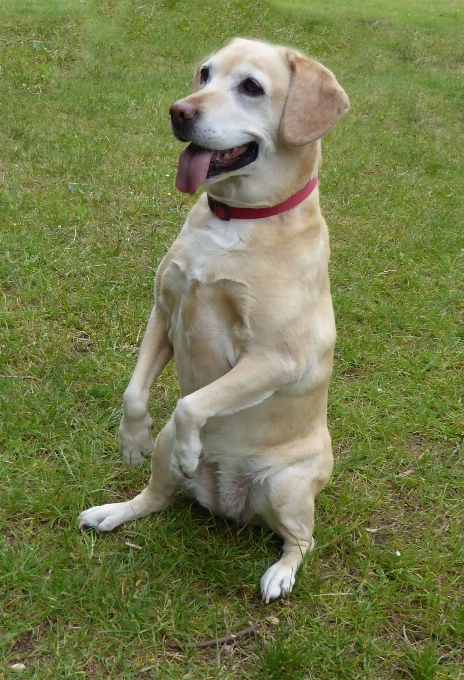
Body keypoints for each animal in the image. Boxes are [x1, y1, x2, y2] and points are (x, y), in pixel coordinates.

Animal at [79, 38, 348, 600]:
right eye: (204, 73)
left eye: (251, 87)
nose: (179, 112)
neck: (235, 221)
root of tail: (229, 504)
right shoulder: (164, 311)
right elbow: (134, 394)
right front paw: (130, 439)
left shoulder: (273, 359)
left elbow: (192, 403)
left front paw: (190, 446)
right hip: (168, 463)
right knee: (155, 496)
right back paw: (112, 512)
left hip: (288, 489)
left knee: (302, 541)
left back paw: (279, 574)